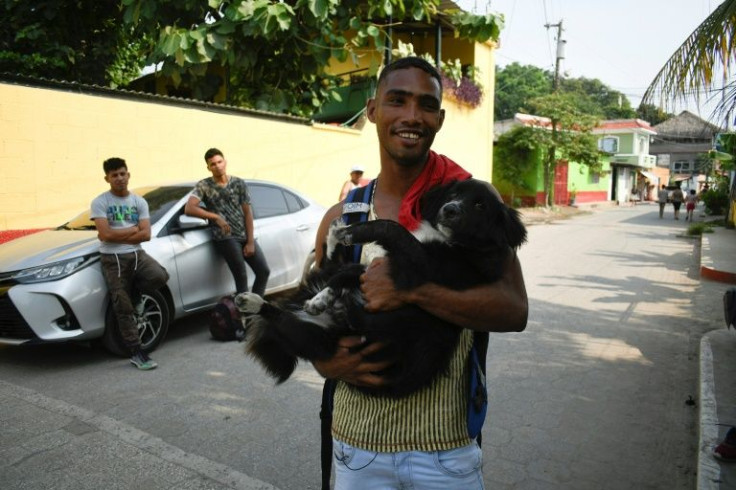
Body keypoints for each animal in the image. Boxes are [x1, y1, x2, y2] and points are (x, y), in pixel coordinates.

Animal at [233, 180, 528, 398]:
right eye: (454, 193)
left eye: (480, 205)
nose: (450, 209)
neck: (451, 241)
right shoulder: (380, 266)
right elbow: (350, 271)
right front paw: (323, 296)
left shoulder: (418, 267)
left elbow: (390, 228)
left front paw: (358, 232)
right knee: (331, 263)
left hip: (315, 339)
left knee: (283, 318)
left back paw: (255, 302)